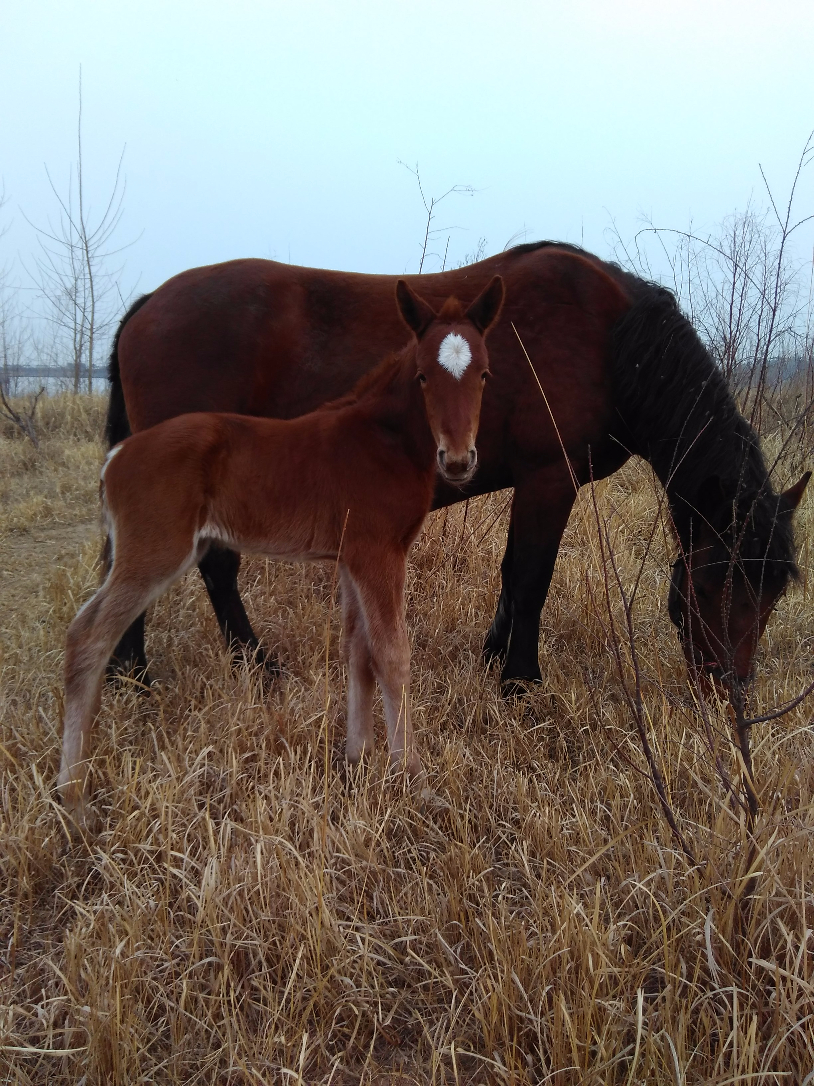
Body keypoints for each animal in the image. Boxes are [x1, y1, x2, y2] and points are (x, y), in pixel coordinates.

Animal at [58, 275, 503, 825]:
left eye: (483, 374)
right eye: (422, 376)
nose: (459, 460)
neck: (381, 441)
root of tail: (117, 457)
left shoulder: (352, 558)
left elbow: (357, 650)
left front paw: (355, 762)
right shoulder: (379, 555)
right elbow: (392, 654)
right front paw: (416, 783)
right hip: (154, 553)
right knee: (89, 636)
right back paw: (73, 800)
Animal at [103, 241, 811, 690]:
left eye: (774, 590)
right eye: (713, 582)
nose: (731, 692)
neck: (611, 341)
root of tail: (147, 304)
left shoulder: (535, 480)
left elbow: (512, 579)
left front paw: (495, 660)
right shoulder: (549, 478)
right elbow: (529, 577)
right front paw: (521, 683)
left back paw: (128, 674)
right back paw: (252, 668)